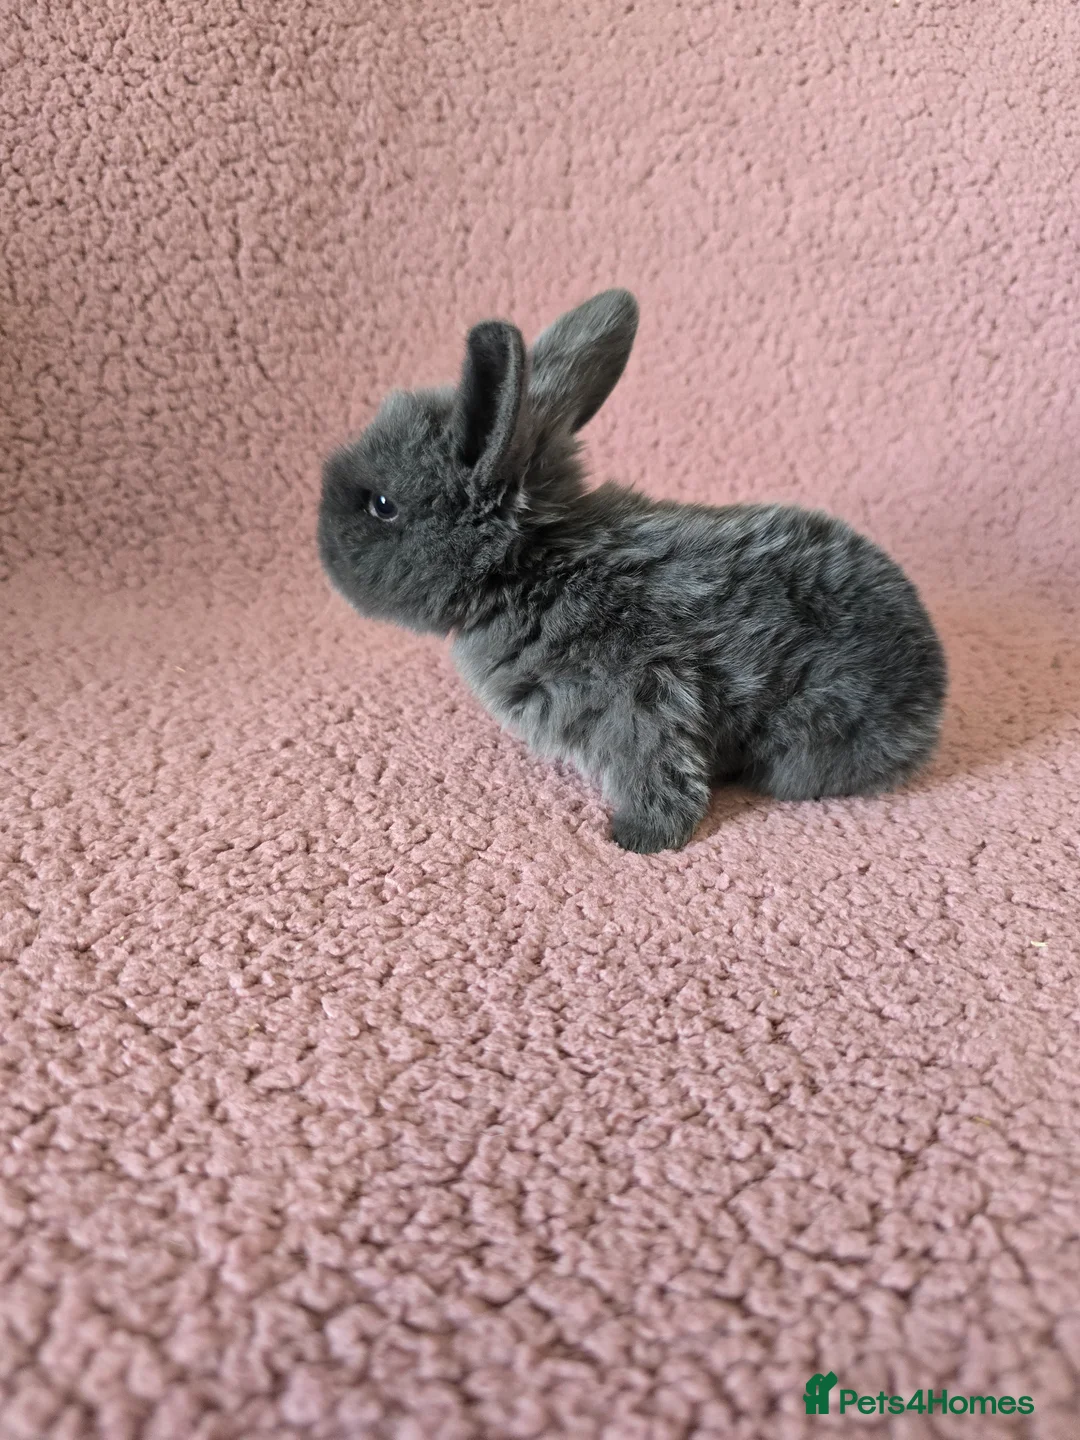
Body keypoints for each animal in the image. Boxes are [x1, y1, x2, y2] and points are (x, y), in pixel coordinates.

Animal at [318, 289, 947, 853]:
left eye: (381, 505)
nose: (320, 540)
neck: (531, 566)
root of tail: (933, 692)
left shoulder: (642, 694)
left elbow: (658, 766)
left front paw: (638, 839)